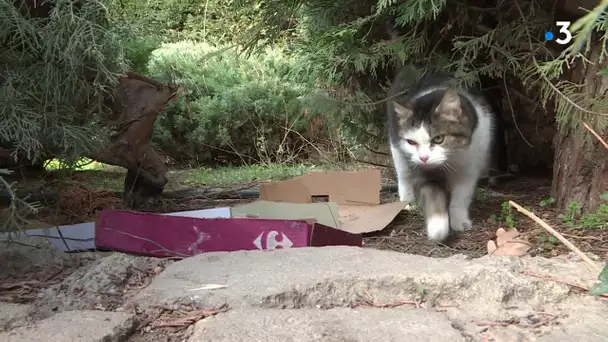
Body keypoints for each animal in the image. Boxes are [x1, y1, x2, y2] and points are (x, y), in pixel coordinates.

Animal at [388, 66, 496, 243]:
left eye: (438, 138)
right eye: (411, 142)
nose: (424, 158)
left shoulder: (469, 167)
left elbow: (461, 196)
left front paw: (459, 221)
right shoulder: (421, 170)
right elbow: (433, 193)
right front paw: (438, 226)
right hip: (397, 149)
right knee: (404, 175)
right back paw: (407, 202)